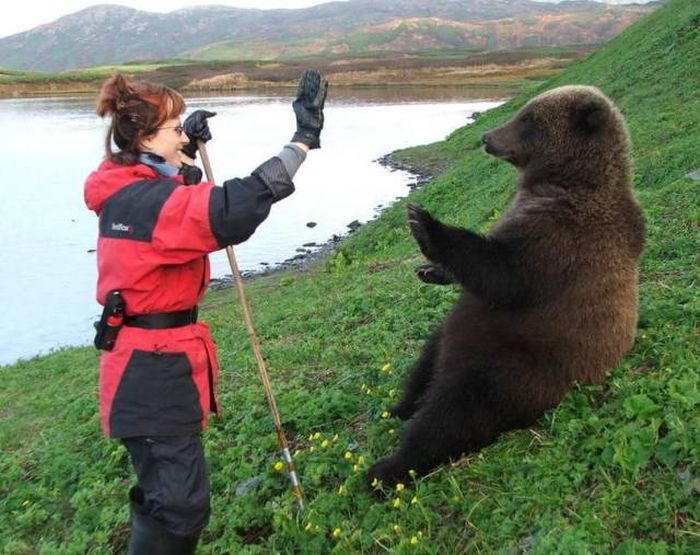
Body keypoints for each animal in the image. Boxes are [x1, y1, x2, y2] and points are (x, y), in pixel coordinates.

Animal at [366, 84, 644, 488]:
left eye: (527, 119)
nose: (486, 136)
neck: (565, 180)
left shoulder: (562, 240)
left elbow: (505, 274)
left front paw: (425, 223)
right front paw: (430, 270)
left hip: (522, 365)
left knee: (459, 410)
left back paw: (387, 469)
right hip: (459, 343)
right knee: (427, 362)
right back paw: (399, 406)